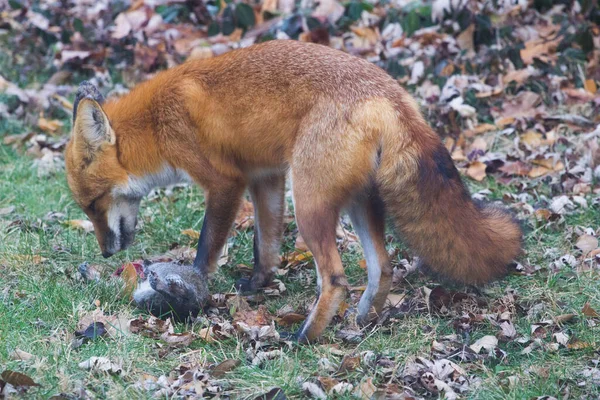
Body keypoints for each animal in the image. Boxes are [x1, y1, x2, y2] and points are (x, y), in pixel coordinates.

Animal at [67, 39, 520, 342]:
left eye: (93, 204)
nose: (106, 253)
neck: (158, 124)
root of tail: (392, 96)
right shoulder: (265, 177)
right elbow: (265, 243)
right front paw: (257, 283)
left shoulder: (226, 183)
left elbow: (206, 247)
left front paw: (190, 288)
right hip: (358, 202)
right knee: (382, 266)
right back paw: (361, 321)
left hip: (310, 204)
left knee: (336, 278)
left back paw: (305, 336)